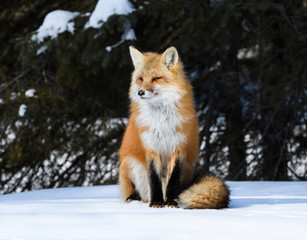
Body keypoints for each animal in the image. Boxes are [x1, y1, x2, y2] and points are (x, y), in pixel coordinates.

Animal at [119, 46, 230, 208]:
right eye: (141, 79)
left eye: (156, 78)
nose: (140, 92)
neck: (162, 121)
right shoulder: (152, 148)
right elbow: (155, 180)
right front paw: (156, 202)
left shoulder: (178, 147)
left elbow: (172, 180)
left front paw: (170, 202)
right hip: (130, 163)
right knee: (135, 190)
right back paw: (134, 198)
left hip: (186, 168)